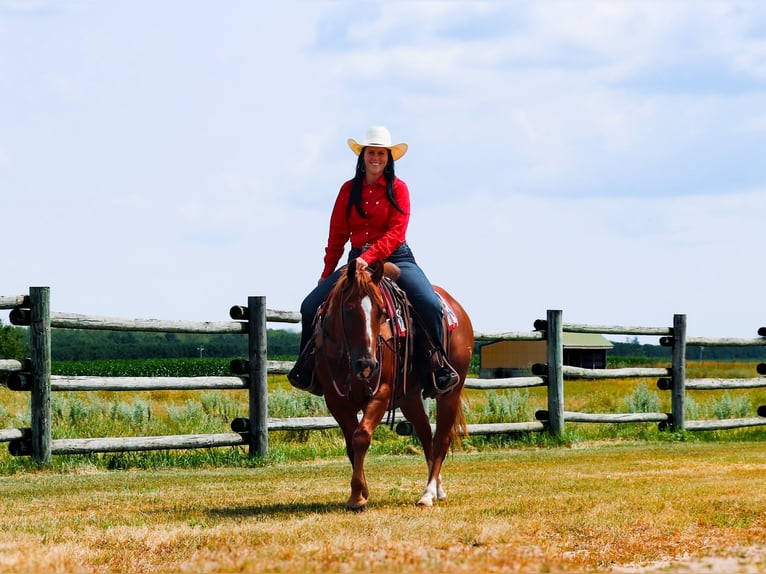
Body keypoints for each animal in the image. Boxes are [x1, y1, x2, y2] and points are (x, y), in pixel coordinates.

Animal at [314, 260, 474, 512]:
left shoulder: (382, 393)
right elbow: (351, 443)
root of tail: (457, 309)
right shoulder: (336, 400)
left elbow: (361, 437)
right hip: (410, 399)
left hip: (450, 393)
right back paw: (438, 488)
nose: (367, 364)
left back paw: (428, 494)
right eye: (348, 309)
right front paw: (362, 491)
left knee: (441, 440)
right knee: (426, 435)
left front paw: (357, 496)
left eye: (381, 312)